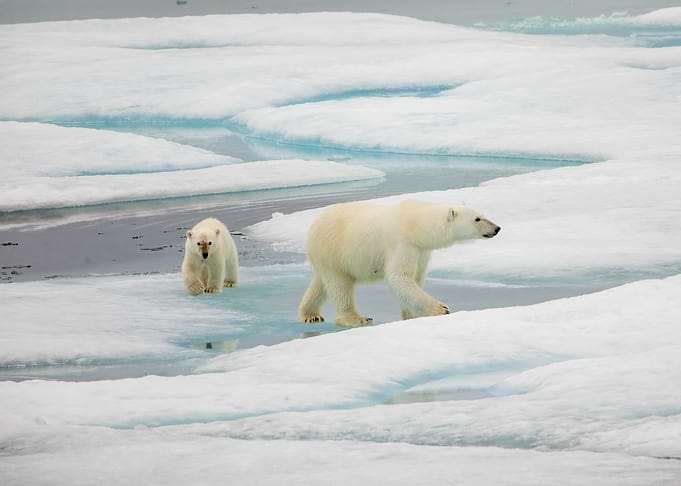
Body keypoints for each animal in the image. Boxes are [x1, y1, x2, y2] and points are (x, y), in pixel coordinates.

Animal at [298, 200, 500, 326]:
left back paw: (310, 315)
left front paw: (412, 315)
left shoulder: (421, 250)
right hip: (334, 249)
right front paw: (441, 309)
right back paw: (356, 318)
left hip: (327, 258)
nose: (497, 228)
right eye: (477, 219)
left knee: (322, 284)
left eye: (482, 214)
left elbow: (416, 277)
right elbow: (399, 277)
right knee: (340, 286)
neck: (415, 225)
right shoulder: (401, 244)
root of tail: (313, 227)